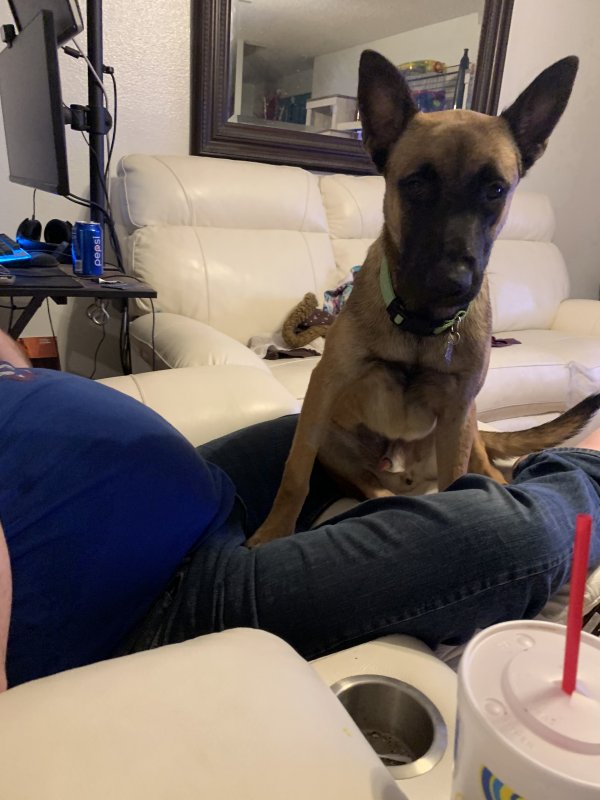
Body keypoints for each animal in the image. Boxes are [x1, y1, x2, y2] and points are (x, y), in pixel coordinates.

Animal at [246, 50, 584, 547]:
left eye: (496, 190)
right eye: (417, 184)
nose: (453, 281)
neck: (421, 325)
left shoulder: (457, 413)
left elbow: (459, 481)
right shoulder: (322, 393)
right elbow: (295, 473)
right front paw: (274, 531)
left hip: (467, 423)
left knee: (483, 468)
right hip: (335, 440)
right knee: (373, 489)